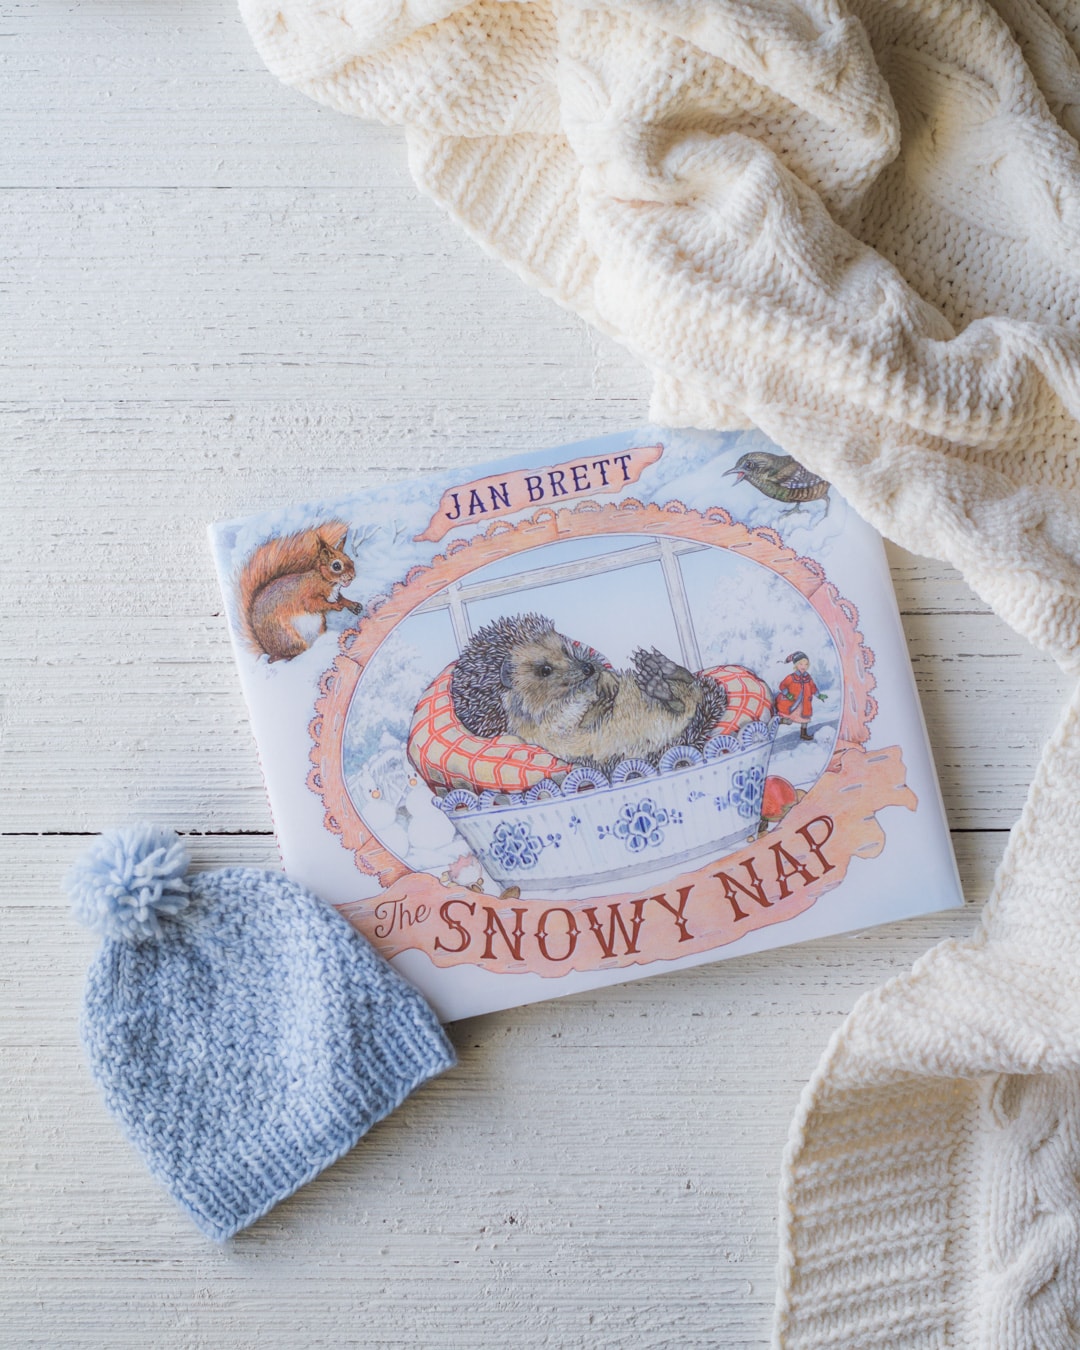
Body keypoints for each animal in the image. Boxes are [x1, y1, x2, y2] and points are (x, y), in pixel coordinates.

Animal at [234, 518, 361, 661]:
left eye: (350, 559)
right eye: (336, 566)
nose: (352, 575)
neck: (325, 580)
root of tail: (270, 652)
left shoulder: (334, 594)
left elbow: (341, 598)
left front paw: (352, 605)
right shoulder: (307, 593)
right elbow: (312, 604)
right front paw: (334, 606)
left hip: (319, 626)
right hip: (288, 636)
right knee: (293, 653)